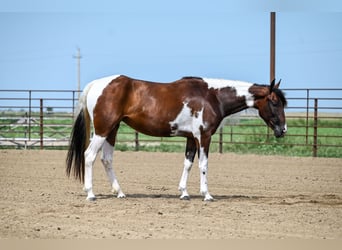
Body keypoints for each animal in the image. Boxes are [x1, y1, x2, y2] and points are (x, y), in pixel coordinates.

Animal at [66, 74, 286, 201]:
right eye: (274, 101)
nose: (282, 130)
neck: (212, 97)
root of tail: (96, 84)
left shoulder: (191, 138)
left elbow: (188, 163)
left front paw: (184, 193)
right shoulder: (204, 137)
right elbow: (203, 165)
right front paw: (206, 195)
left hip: (112, 130)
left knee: (106, 159)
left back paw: (119, 192)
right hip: (103, 130)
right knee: (89, 156)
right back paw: (91, 194)